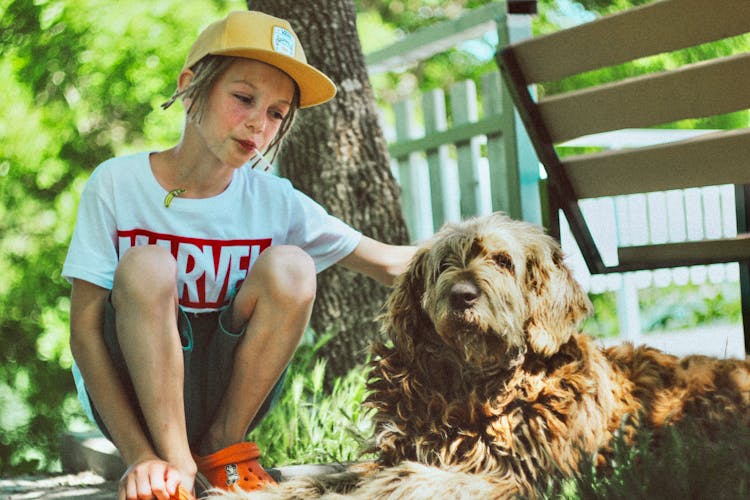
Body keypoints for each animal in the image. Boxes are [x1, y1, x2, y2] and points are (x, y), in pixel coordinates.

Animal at [212, 213, 750, 498]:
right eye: (445, 265)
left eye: (503, 261)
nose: (463, 295)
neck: (467, 388)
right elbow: (333, 475)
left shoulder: (519, 479)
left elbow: (409, 477)